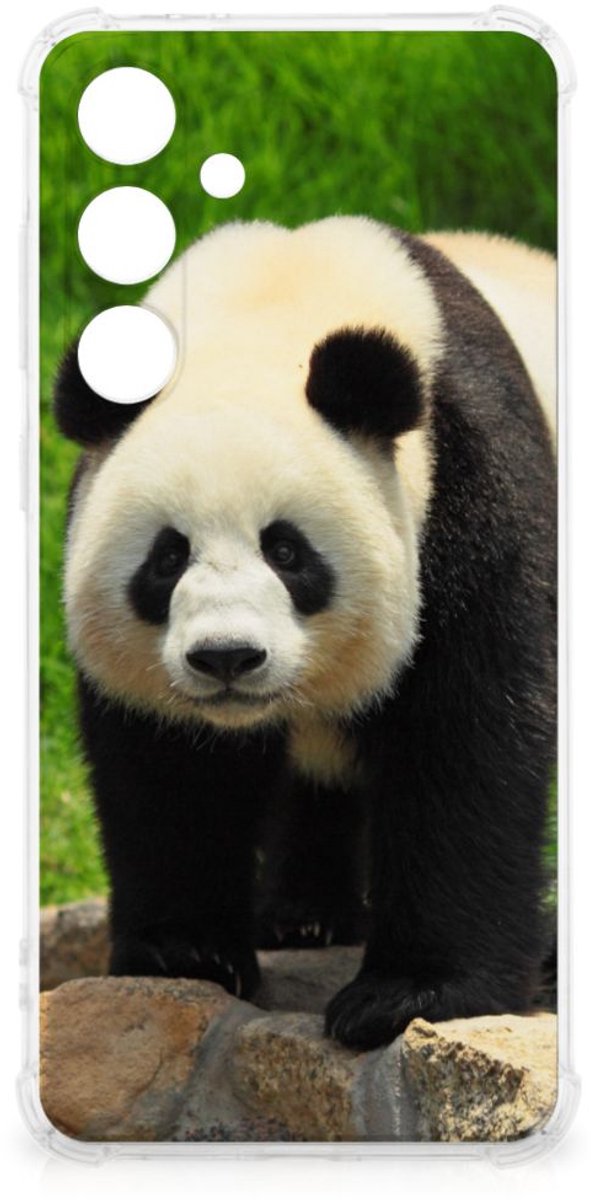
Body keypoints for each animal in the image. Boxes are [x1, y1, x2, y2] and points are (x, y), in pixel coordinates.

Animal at [54, 217, 556, 1051]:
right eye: (167, 557)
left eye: (286, 551)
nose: (226, 657)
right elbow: (168, 768)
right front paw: (185, 953)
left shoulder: (470, 485)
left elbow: (468, 735)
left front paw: (408, 994)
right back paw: (304, 916)